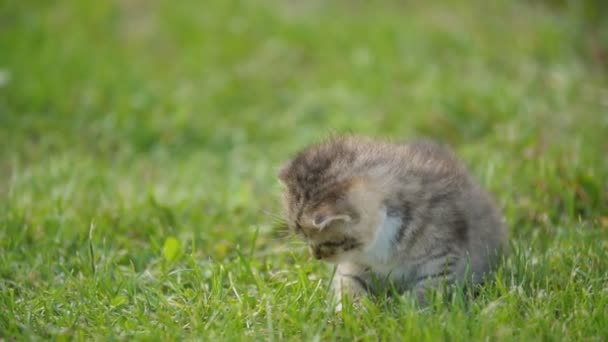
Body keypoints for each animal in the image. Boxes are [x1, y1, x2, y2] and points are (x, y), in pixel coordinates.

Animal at [280, 136, 508, 304]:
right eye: (303, 238)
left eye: (330, 242)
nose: (315, 256)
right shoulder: (354, 264)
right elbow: (349, 285)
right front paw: (353, 312)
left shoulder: (444, 258)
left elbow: (426, 292)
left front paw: (405, 310)